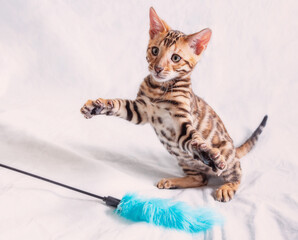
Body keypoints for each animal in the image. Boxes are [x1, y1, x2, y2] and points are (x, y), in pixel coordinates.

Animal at [80, 7, 266, 202]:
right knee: (200, 179)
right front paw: (97, 105)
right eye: (155, 50)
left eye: (175, 58)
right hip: (184, 160)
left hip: (227, 156)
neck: (159, 88)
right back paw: (174, 181)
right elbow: (117, 103)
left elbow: (195, 140)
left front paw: (209, 154)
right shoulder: (140, 111)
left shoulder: (181, 122)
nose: (158, 68)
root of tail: (235, 150)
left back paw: (226, 186)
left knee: (237, 174)